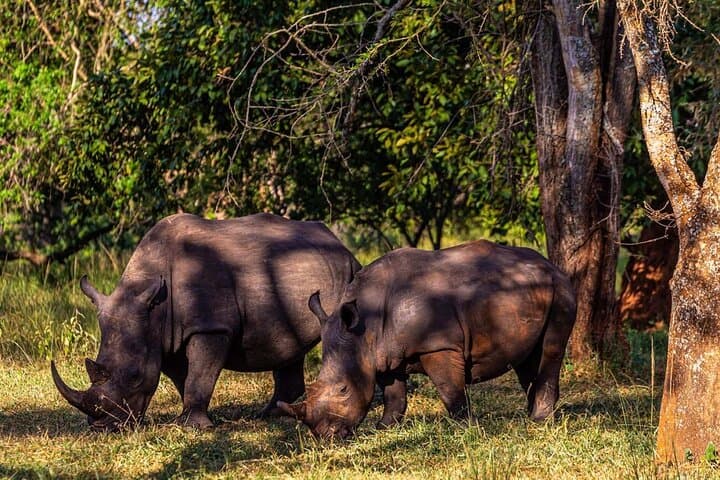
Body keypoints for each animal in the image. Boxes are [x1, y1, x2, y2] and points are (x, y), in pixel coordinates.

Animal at [51, 213, 360, 431]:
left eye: (134, 376)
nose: (102, 427)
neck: (155, 305)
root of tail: (341, 245)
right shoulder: (164, 335)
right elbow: (184, 376)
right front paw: (188, 418)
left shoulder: (210, 327)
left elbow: (200, 373)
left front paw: (192, 426)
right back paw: (270, 415)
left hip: (346, 274)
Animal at [279, 240, 576, 439]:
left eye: (343, 390)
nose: (325, 437)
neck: (365, 327)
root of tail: (553, 267)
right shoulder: (383, 353)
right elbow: (394, 395)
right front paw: (383, 429)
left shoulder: (438, 345)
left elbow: (449, 389)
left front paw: (465, 427)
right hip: (530, 293)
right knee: (527, 360)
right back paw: (530, 417)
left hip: (560, 290)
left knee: (550, 351)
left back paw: (539, 421)